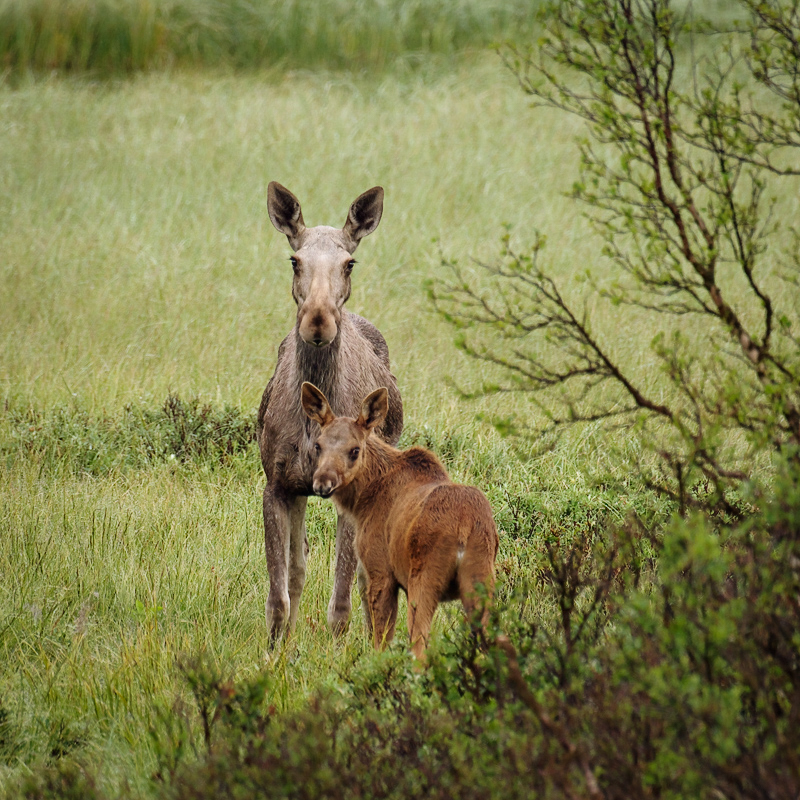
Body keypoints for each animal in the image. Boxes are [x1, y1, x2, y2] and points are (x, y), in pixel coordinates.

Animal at [258, 183, 404, 644]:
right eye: (295, 260)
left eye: (349, 262)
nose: (318, 320)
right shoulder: (278, 484)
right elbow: (281, 593)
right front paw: (276, 652)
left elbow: (340, 602)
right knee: (300, 568)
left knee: (367, 576)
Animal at [302, 384, 496, 660]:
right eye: (318, 446)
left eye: (355, 450)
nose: (322, 483)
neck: (361, 502)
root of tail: (465, 528)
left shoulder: (379, 568)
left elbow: (381, 639)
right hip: (482, 578)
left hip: (424, 579)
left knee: (419, 647)